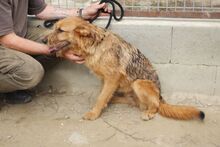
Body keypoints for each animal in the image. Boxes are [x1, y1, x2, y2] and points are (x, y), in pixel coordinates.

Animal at [47, 17, 205, 120]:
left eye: (60, 30)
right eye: (54, 28)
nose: (43, 40)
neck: (96, 45)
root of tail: (160, 96)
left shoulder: (112, 78)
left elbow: (101, 97)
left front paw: (94, 113)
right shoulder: (105, 79)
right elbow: (102, 94)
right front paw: (100, 106)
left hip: (138, 83)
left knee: (155, 105)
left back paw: (149, 112)